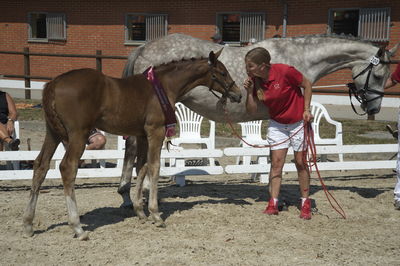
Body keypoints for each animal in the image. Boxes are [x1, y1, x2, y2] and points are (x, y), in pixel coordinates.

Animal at [118, 32, 396, 209]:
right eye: (379, 74)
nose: (374, 107)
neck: (300, 57)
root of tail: (143, 48)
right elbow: (277, 160)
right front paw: (276, 197)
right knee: (137, 150)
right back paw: (139, 194)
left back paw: (128, 196)